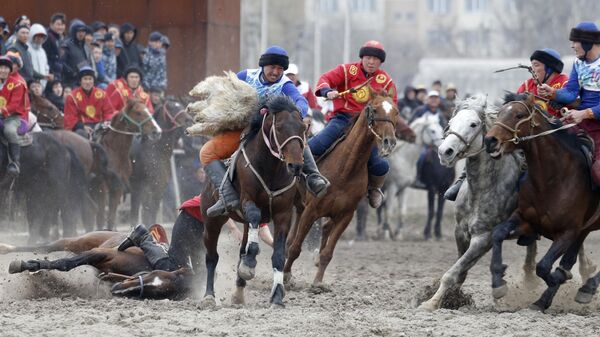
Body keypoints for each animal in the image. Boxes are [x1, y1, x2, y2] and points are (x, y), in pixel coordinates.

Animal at [92, 100, 162, 230]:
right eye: (138, 113)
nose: (157, 131)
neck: (114, 152)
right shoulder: (102, 189)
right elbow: (100, 218)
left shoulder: (117, 188)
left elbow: (111, 218)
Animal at [200, 95, 308, 308]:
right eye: (279, 127)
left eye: (302, 128)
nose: (296, 166)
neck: (271, 170)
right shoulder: (247, 202)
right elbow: (255, 216)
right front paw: (249, 264)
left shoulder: (283, 214)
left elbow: (278, 255)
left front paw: (277, 295)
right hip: (212, 221)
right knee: (211, 257)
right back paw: (209, 296)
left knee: (242, 248)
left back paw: (238, 293)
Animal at [286, 89, 404, 286]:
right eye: (374, 110)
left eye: (395, 112)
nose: (389, 142)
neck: (345, 168)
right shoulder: (312, 209)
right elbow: (296, 247)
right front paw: (286, 276)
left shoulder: (345, 215)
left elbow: (327, 253)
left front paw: (318, 283)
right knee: (292, 239)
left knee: (322, 229)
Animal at [486, 93, 600, 312]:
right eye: (500, 112)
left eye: (519, 115)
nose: (490, 140)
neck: (553, 178)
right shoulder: (526, 220)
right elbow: (497, 233)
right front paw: (498, 282)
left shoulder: (567, 232)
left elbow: (544, 266)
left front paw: (554, 281)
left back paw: (587, 288)